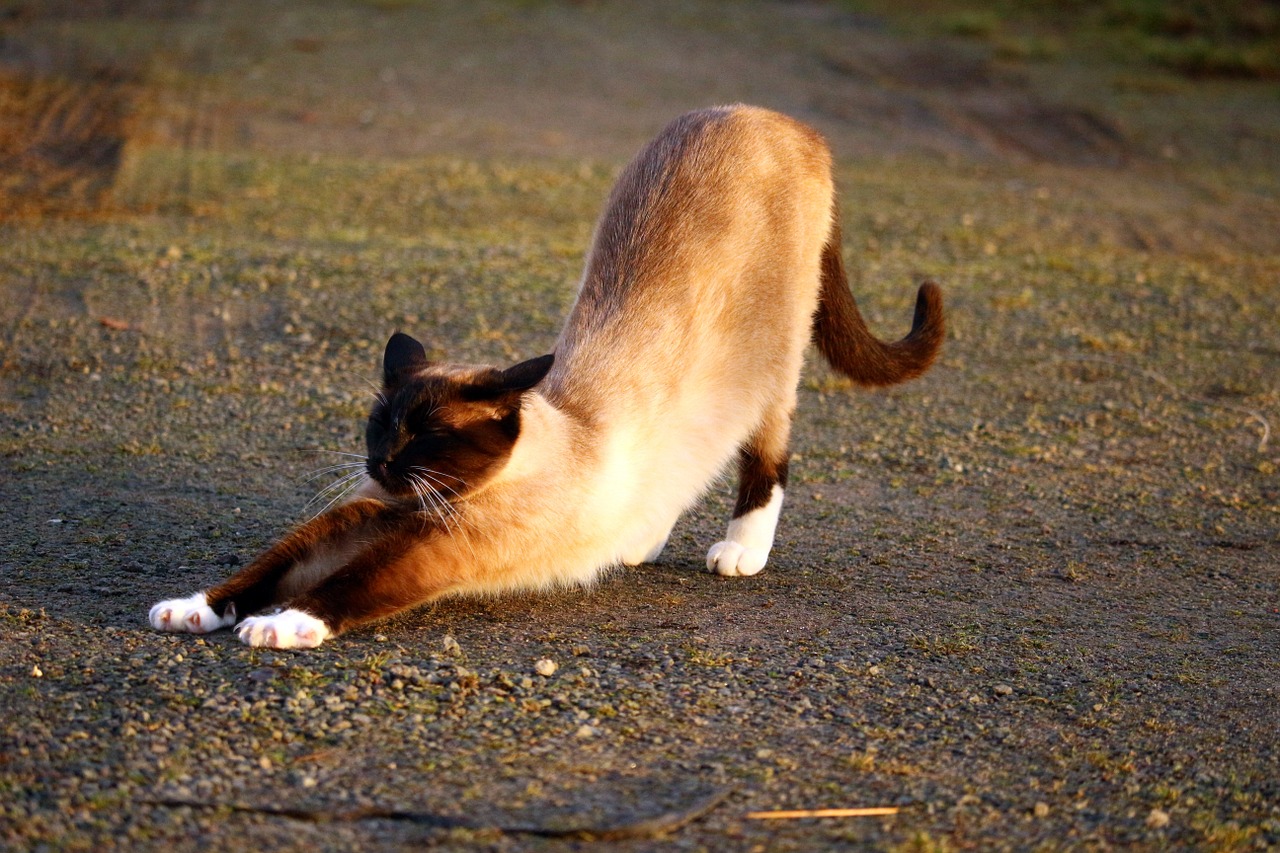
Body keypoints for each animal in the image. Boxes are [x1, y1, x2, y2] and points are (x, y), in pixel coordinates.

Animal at [154, 108, 947, 650]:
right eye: (382, 426)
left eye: (426, 437)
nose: (382, 463)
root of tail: (779, 118)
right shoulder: (357, 518)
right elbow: (260, 569)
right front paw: (193, 610)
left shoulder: (428, 547)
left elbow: (346, 585)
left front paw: (281, 624)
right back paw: (635, 541)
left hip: (767, 370)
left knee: (768, 454)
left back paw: (739, 554)